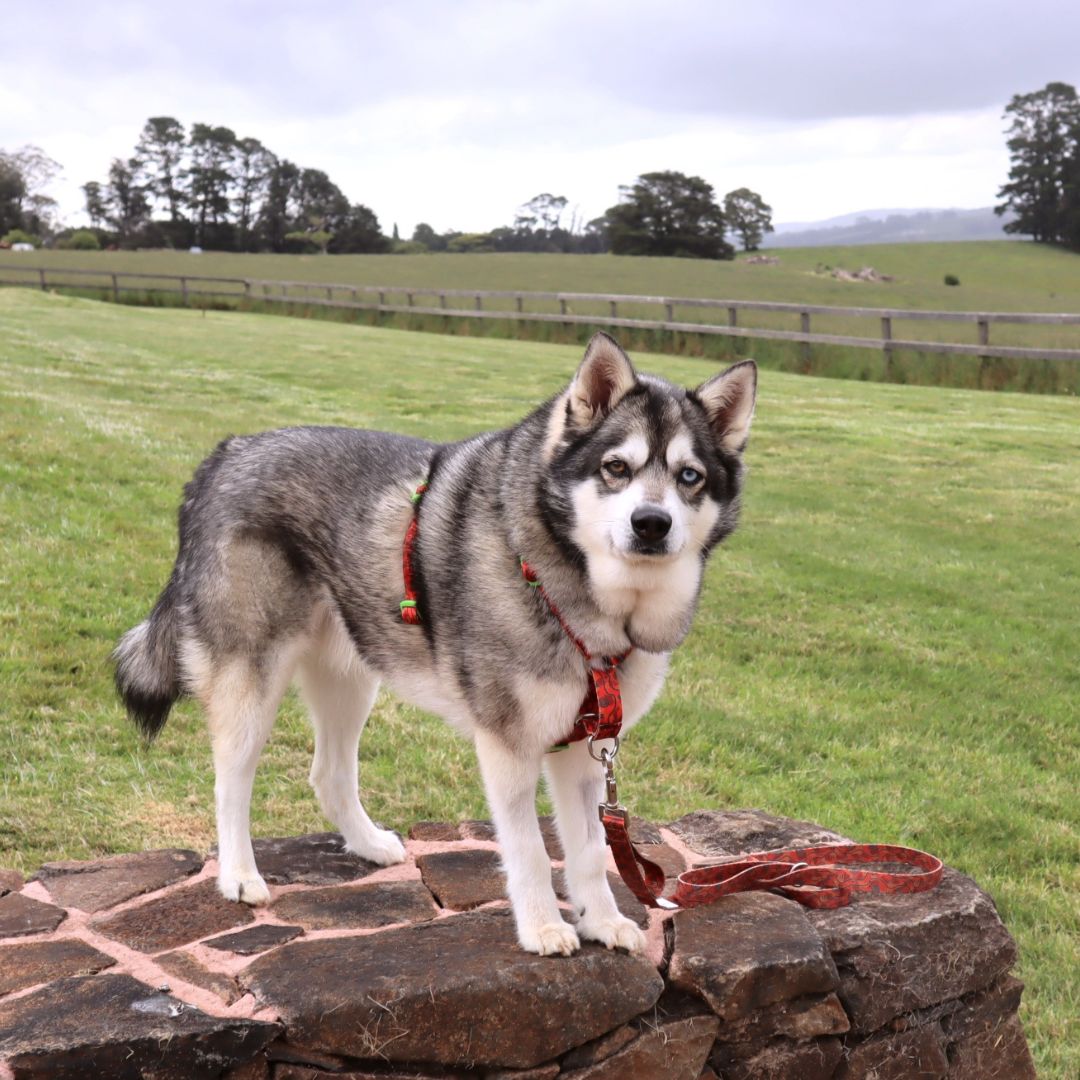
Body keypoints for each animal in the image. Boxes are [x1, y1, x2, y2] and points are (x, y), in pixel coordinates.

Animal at [113, 330, 756, 954]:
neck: (588, 604)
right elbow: (528, 850)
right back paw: (240, 876)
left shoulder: (584, 754)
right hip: (252, 681)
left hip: (351, 680)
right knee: (231, 781)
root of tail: (227, 453)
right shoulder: (508, 746)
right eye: (616, 468)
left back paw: (368, 845)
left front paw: (602, 921)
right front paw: (544, 929)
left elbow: (593, 851)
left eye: (689, 477)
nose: (651, 524)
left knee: (328, 774)